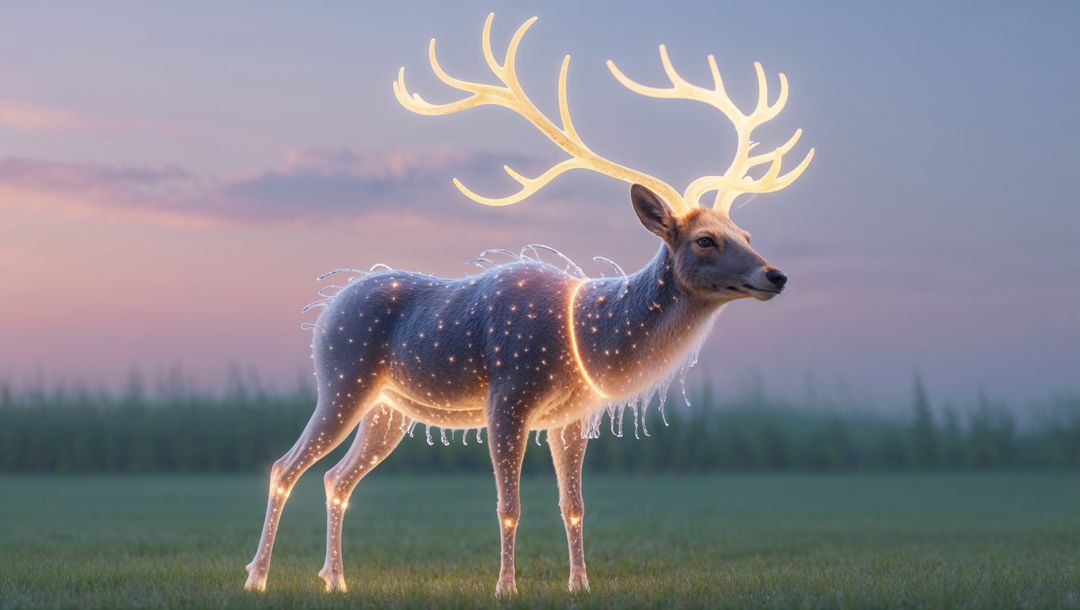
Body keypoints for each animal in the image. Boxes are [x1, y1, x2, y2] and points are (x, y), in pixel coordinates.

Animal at [243, 13, 813, 597]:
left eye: (746, 233)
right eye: (705, 240)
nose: (776, 274)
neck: (588, 334)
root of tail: (328, 306)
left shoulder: (573, 417)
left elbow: (574, 505)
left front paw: (580, 585)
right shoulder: (510, 393)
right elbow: (509, 505)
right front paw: (505, 587)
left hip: (388, 409)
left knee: (337, 478)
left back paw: (335, 579)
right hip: (343, 377)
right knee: (285, 467)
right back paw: (258, 577)